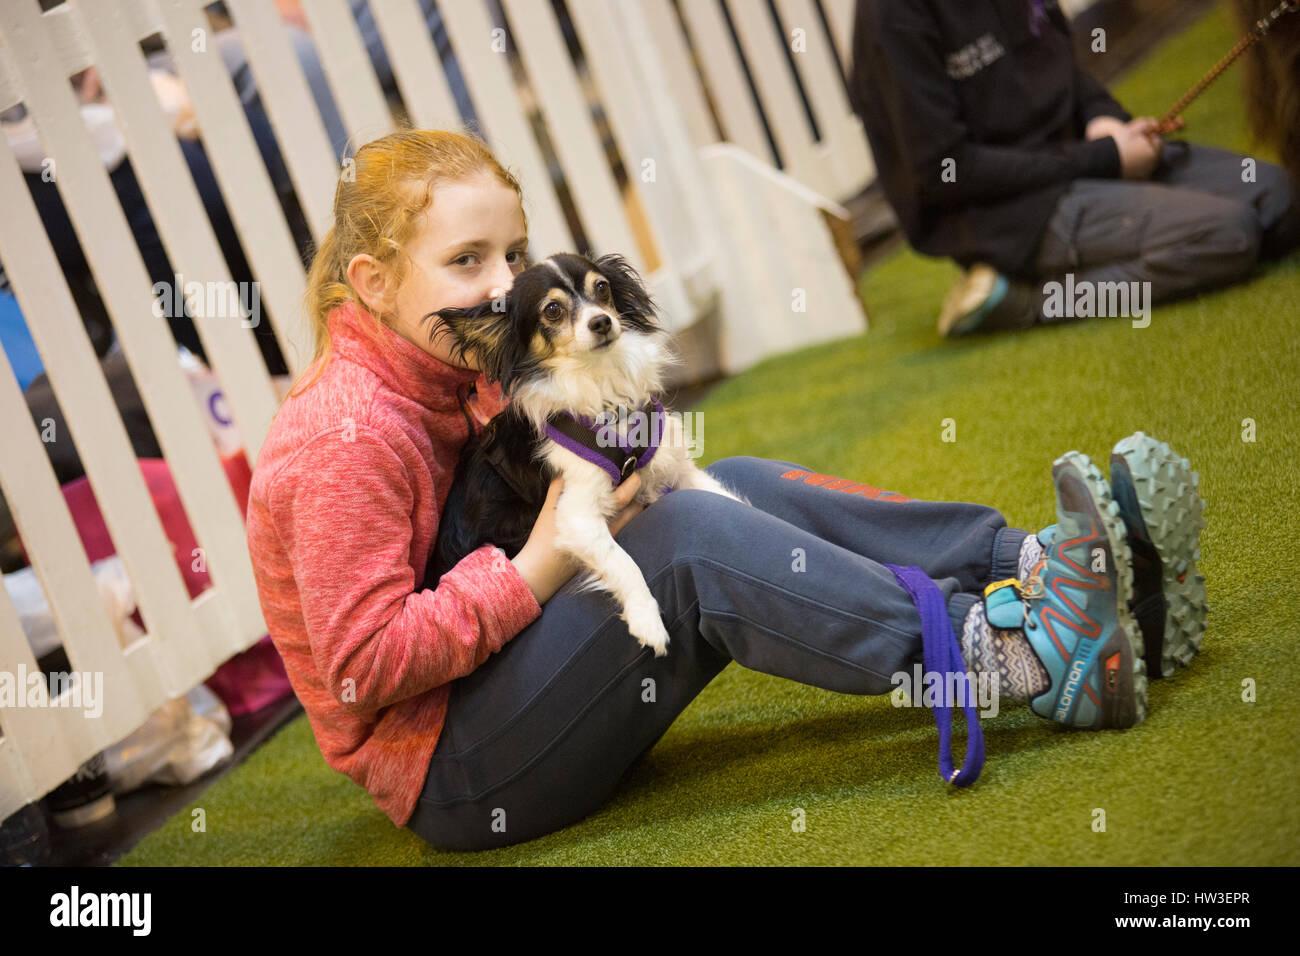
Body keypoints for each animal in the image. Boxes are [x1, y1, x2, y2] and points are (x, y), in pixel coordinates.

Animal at [423, 254, 748, 658]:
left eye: (602, 288)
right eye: (553, 310)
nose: (601, 321)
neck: (603, 388)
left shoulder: (677, 469)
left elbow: (724, 499)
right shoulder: (575, 515)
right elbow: (621, 561)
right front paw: (646, 618)